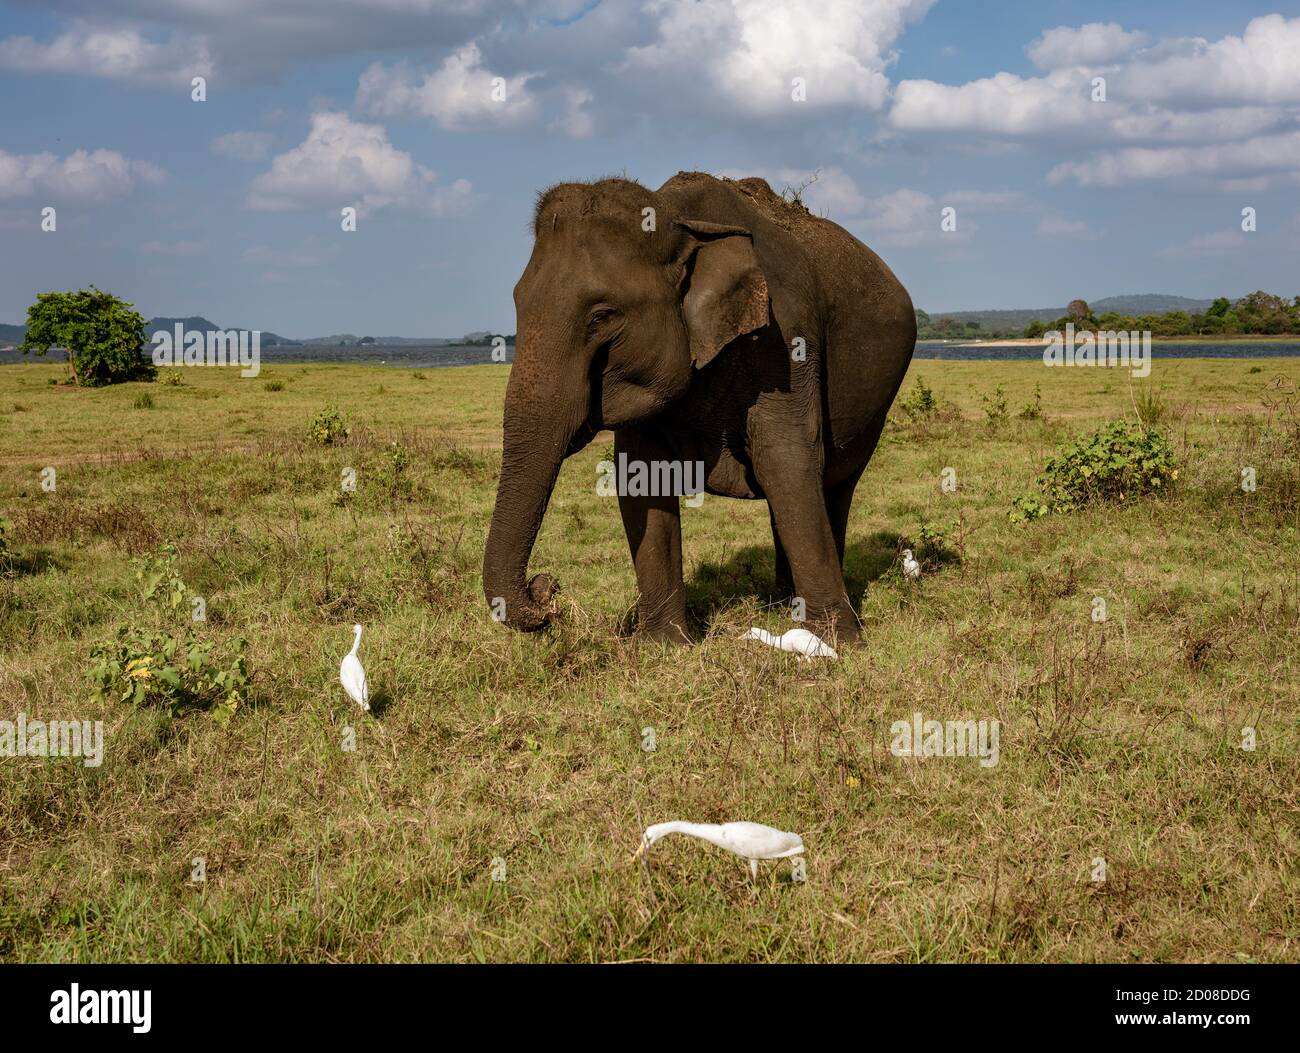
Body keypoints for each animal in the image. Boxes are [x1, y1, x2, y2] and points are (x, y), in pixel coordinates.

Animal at [483, 170, 916, 645]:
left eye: (601, 316)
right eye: (518, 302)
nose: (546, 588)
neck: (678, 217)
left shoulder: (786, 334)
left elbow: (787, 461)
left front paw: (836, 643)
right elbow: (641, 476)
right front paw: (664, 645)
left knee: (833, 486)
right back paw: (783, 605)